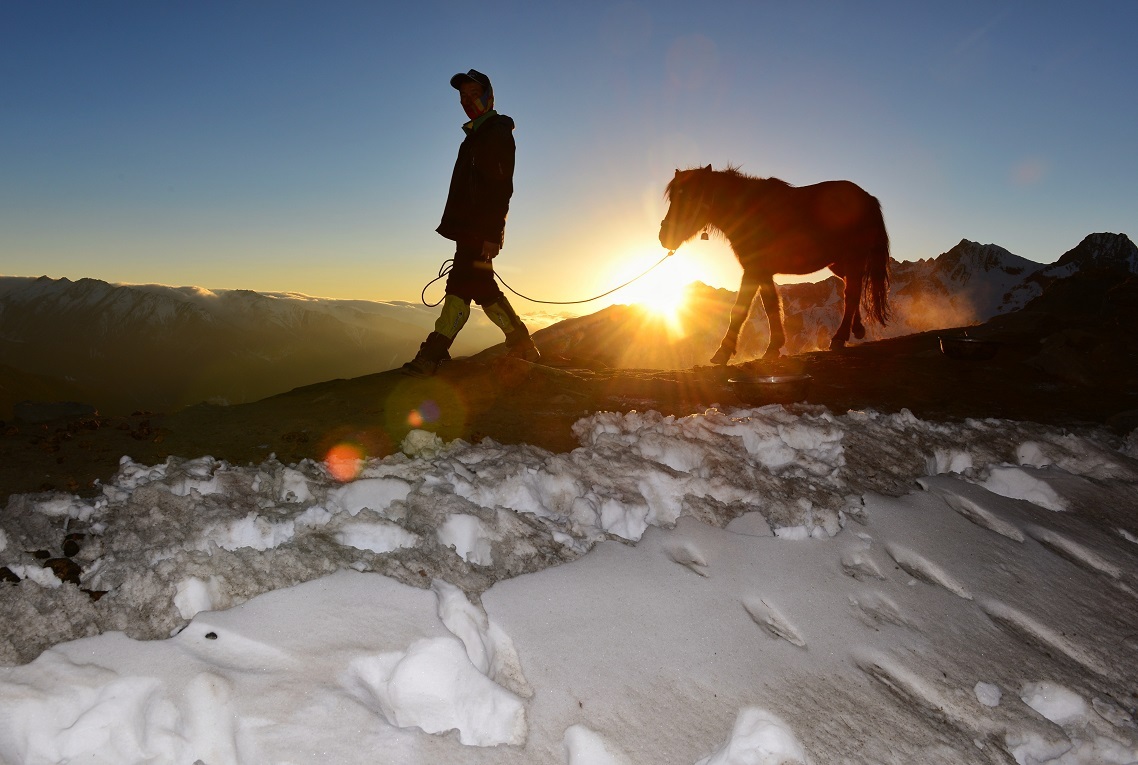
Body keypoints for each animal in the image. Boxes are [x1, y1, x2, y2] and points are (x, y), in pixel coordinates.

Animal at [660, 166, 887, 362]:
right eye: (672, 198)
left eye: (692, 197)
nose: (664, 237)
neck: (749, 211)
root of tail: (867, 198)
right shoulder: (762, 272)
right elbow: (770, 305)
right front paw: (774, 345)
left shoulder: (753, 270)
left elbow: (740, 309)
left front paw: (723, 352)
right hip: (840, 263)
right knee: (852, 287)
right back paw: (856, 329)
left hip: (854, 257)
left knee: (852, 293)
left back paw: (840, 337)